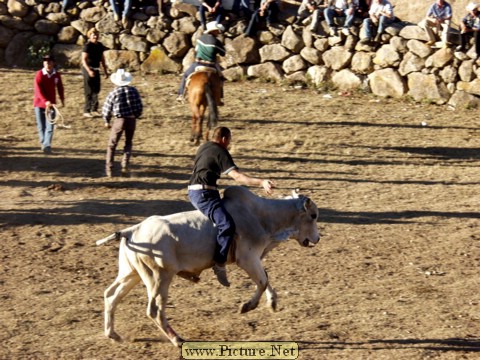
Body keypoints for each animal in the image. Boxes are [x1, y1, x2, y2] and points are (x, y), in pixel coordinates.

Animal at [95, 186, 320, 346]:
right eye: (313, 215)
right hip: (159, 278)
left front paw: (272, 302)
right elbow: (263, 281)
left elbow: (265, 278)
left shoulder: (254, 259)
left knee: (111, 295)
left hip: (131, 273)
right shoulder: (247, 258)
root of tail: (132, 230)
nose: (317, 238)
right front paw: (247, 306)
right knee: (154, 310)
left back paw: (113, 334)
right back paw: (177, 340)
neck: (262, 216)